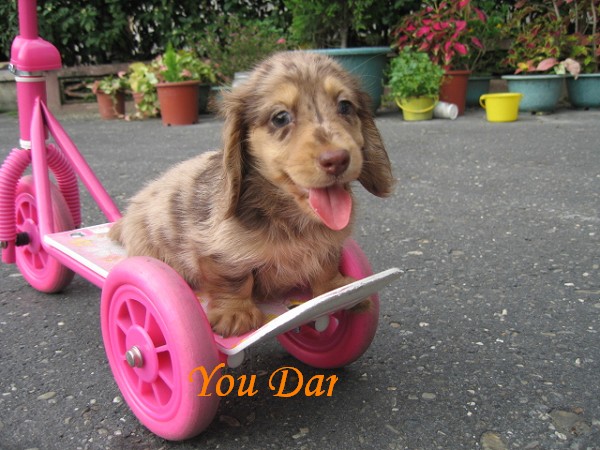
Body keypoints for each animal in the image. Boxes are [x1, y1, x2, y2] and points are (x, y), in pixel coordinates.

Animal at [109, 51, 394, 337]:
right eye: (280, 117)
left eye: (345, 106)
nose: (337, 159)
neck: (291, 219)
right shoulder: (221, 250)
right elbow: (234, 279)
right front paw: (235, 312)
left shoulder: (329, 245)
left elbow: (326, 265)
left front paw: (338, 289)